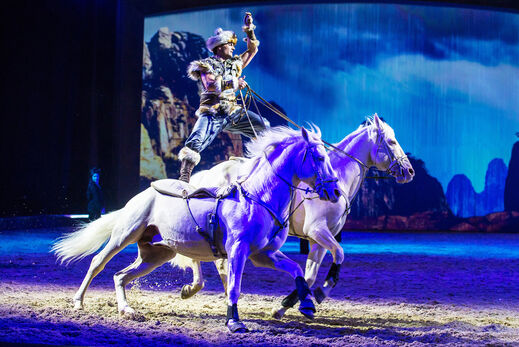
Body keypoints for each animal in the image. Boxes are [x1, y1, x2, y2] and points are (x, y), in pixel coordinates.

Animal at [52, 126, 342, 334]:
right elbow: (234, 286)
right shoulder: (238, 251)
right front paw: (234, 322)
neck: (258, 197)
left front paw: (306, 303)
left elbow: (295, 269)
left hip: (156, 254)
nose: (336, 191)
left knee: (120, 276)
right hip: (124, 235)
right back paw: (78, 302)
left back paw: (127, 310)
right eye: (319, 157)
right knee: (98, 263)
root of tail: (143, 193)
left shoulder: (263, 254)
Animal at [175, 114, 414, 320]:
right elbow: (339, 253)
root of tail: (206, 174)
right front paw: (321, 291)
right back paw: (197, 289)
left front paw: (286, 306)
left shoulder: (318, 241)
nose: (409, 171)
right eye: (391, 141)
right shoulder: (317, 230)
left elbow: (309, 274)